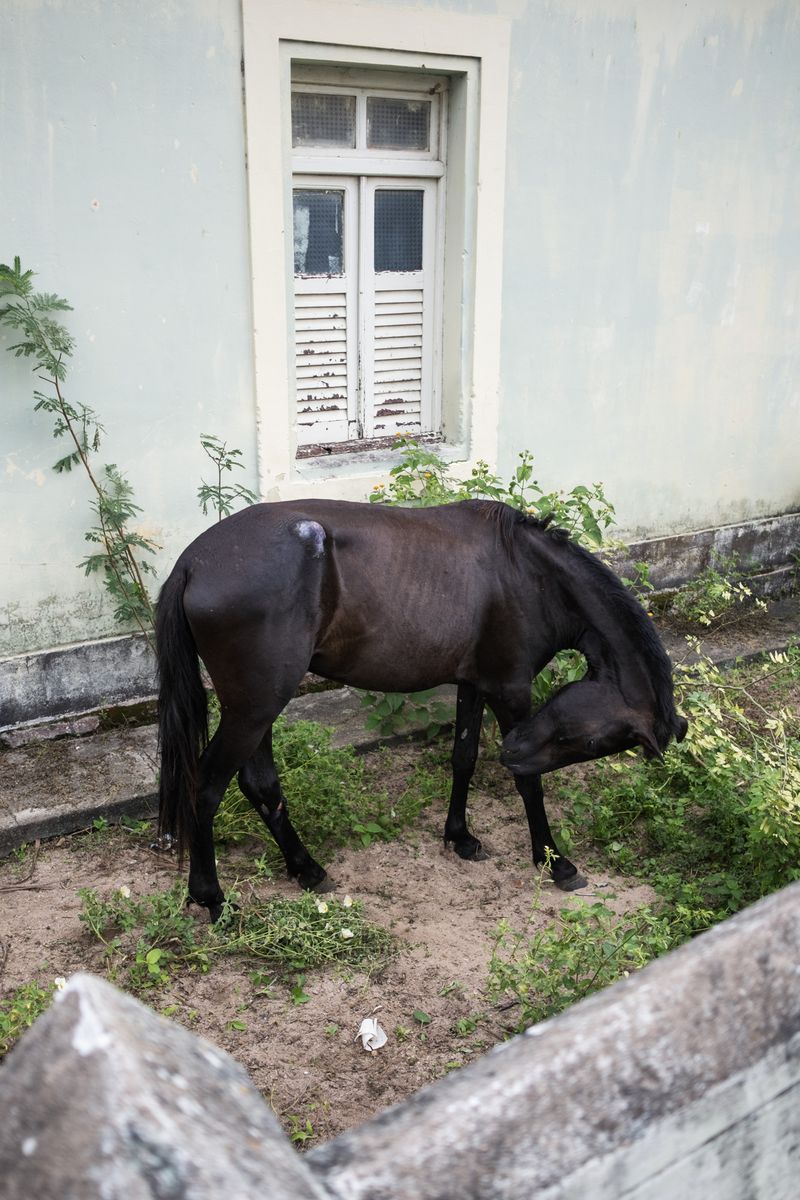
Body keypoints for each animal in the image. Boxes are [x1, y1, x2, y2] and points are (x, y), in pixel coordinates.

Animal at [155, 498, 687, 920]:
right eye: (590, 740)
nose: (512, 750)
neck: (528, 574)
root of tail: (192, 563)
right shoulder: (511, 692)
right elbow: (529, 785)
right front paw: (555, 862)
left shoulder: (475, 684)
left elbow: (463, 758)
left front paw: (461, 837)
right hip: (254, 709)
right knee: (206, 787)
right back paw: (212, 897)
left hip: (259, 708)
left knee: (259, 784)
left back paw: (306, 869)